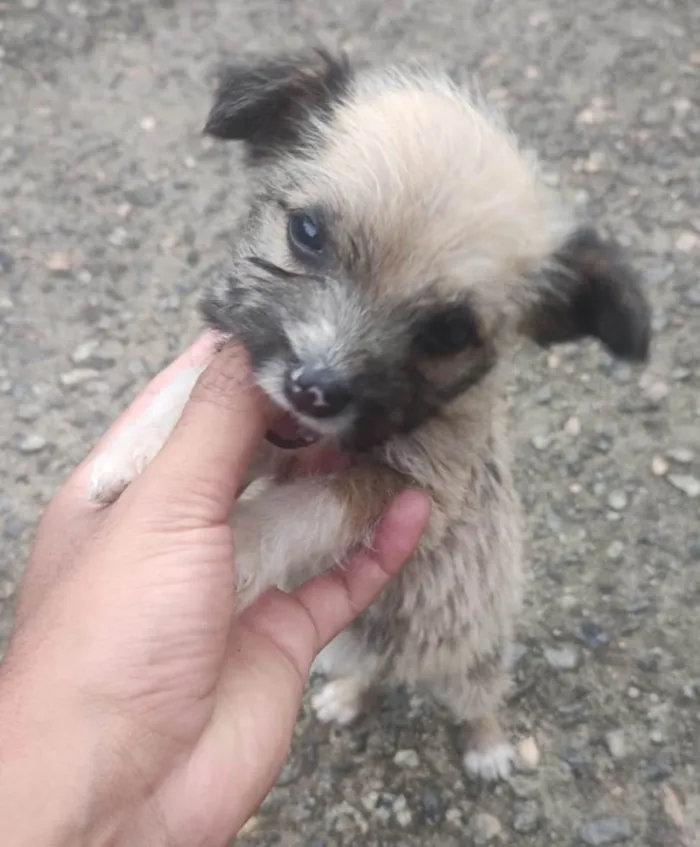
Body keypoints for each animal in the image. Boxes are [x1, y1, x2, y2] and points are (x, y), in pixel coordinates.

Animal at [89, 49, 652, 780]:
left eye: (449, 331)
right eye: (306, 233)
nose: (313, 389)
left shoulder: (413, 488)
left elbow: (308, 508)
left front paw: (237, 546)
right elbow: (186, 388)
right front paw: (128, 455)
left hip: (476, 652)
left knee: (479, 697)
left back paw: (490, 748)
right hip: (348, 644)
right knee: (370, 673)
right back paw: (350, 696)